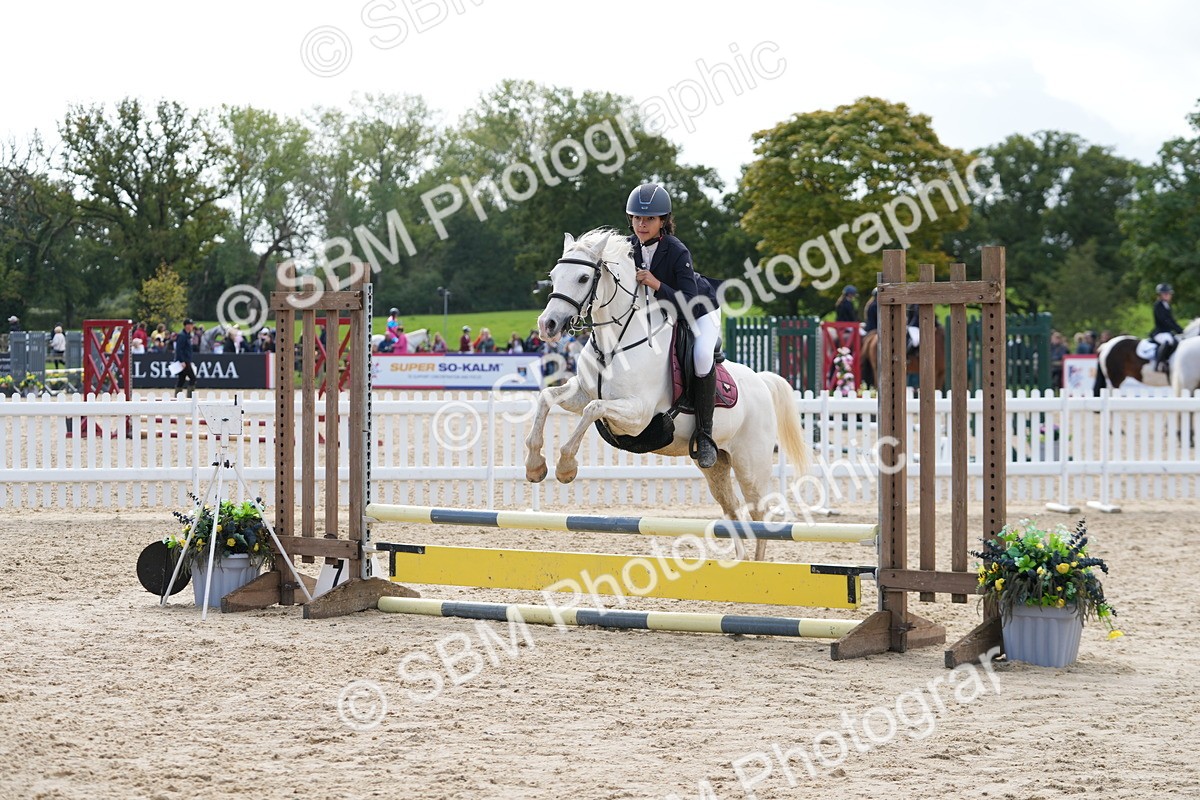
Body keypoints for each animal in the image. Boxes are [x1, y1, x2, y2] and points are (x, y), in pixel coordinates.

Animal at [523, 228, 813, 560]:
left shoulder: (637, 416)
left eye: (584, 278)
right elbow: (548, 398)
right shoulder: (580, 392)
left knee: (759, 514)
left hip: (751, 465)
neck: (615, 345)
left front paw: (566, 467)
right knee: (733, 510)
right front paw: (535, 466)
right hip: (717, 465)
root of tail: (761, 382)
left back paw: (756, 565)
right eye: (553, 276)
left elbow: (593, 409)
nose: (547, 325)